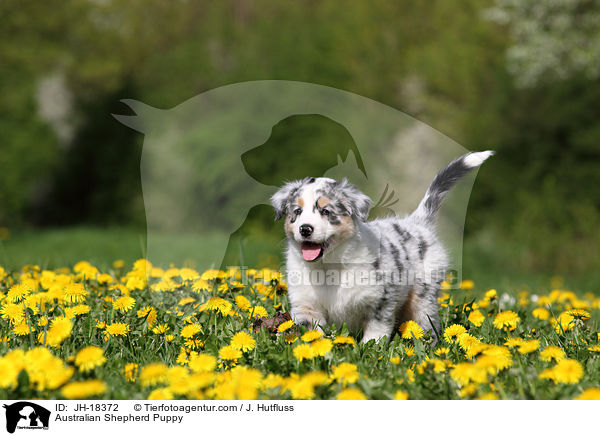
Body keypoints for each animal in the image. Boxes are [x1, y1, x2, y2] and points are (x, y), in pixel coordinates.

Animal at [272, 150, 492, 344]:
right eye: (297, 211)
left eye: (326, 211)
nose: (305, 229)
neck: (328, 267)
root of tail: (417, 222)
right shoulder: (306, 304)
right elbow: (312, 335)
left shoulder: (381, 300)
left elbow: (376, 332)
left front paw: (371, 350)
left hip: (423, 296)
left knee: (429, 324)